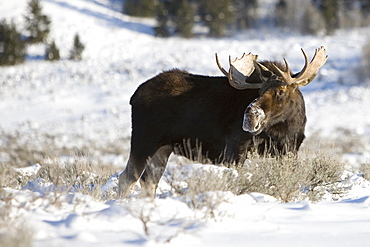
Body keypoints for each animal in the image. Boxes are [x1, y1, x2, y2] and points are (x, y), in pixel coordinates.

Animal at [118, 45, 326, 197]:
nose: (250, 117)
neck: (285, 129)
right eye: (259, 91)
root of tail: (134, 96)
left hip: (163, 148)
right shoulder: (235, 148)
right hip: (144, 141)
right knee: (127, 178)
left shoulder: (289, 150)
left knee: (148, 181)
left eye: (281, 91)